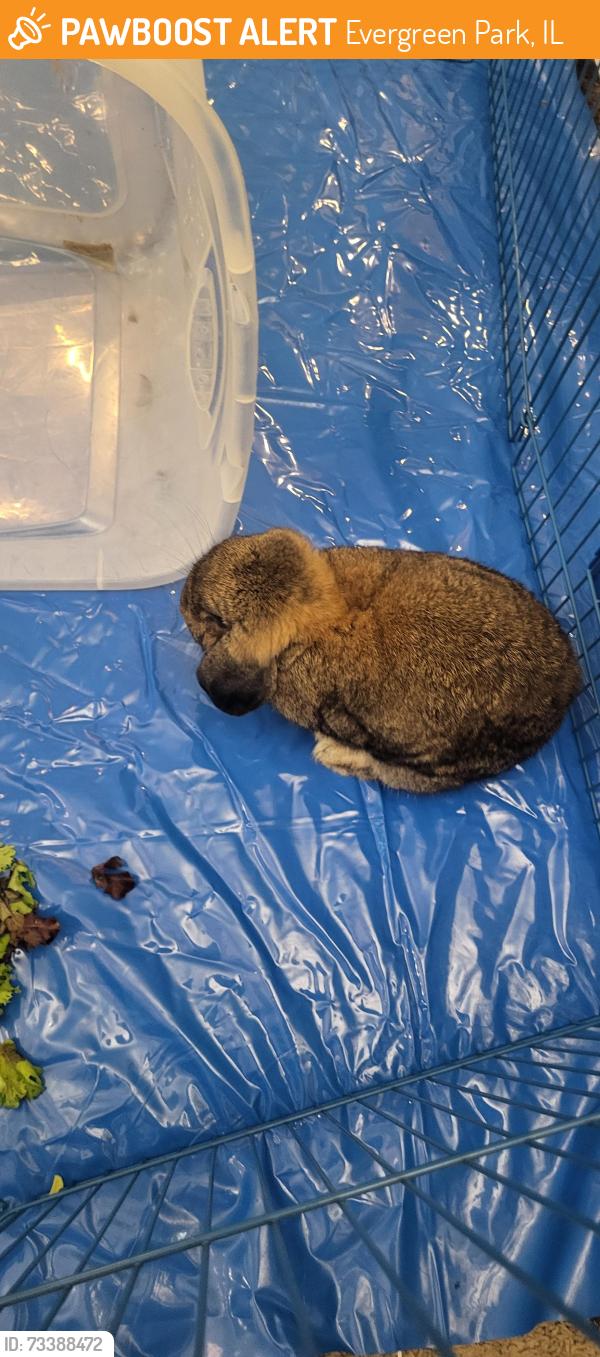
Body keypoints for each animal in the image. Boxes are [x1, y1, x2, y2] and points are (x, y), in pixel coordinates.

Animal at [180, 528, 581, 793]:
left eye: (215, 619)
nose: (182, 595)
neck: (330, 618)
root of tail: (569, 689)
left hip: (427, 769)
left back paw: (331, 753)